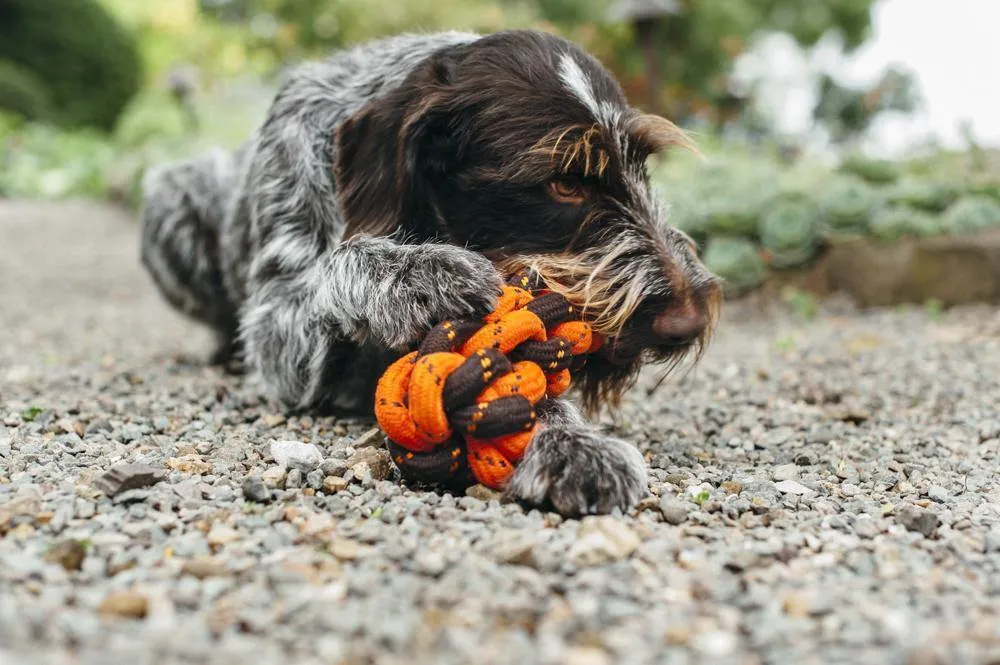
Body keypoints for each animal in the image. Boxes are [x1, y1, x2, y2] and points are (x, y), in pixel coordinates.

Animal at [141, 28, 720, 516]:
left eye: (641, 169)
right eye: (564, 184)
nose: (688, 321)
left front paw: (569, 441)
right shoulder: (278, 332)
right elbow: (337, 264)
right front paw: (422, 273)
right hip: (172, 199)